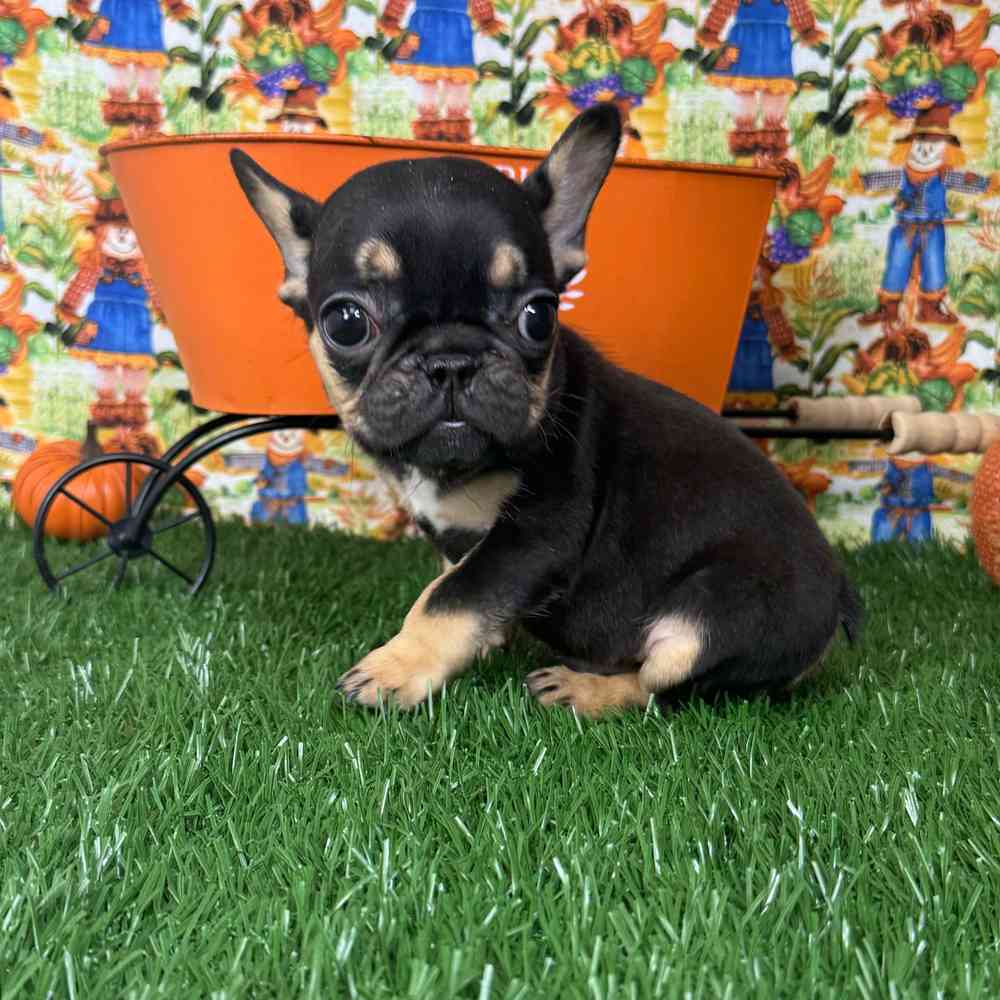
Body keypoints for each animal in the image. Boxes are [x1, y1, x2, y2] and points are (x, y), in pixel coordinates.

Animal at [230, 103, 862, 718]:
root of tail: (839, 602)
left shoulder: (536, 533)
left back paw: (584, 690)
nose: (451, 361)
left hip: (705, 620)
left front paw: (396, 666)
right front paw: (480, 641)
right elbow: (456, 578)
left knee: (664, 688)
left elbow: (450, 597)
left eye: (539, 316)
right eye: (346, 323)